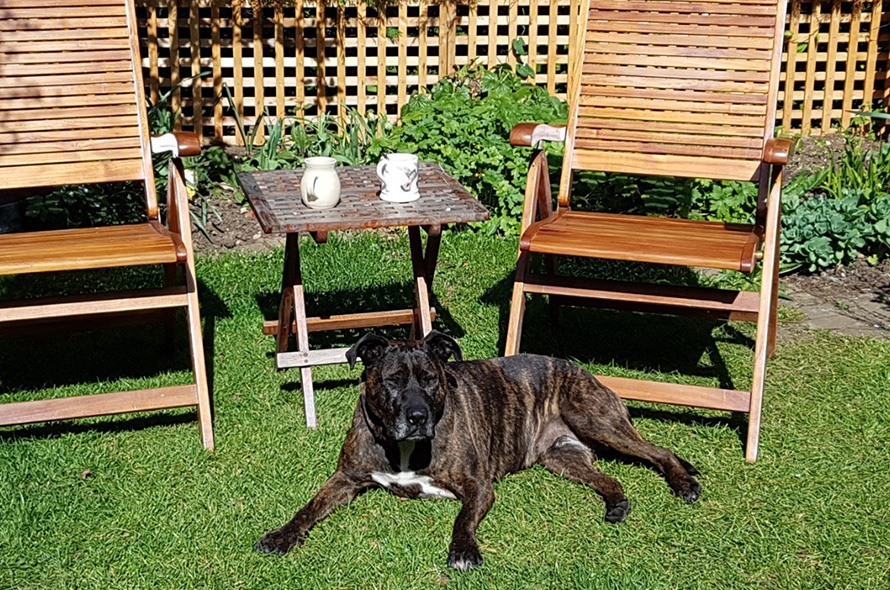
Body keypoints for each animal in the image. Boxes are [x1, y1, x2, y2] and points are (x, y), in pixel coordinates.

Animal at [256, 330, 700, 572]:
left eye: (431, 379)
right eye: (393, 380)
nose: (417, 416)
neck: (403, 446)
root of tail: (584, 370)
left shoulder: (479, 487)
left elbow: (462, 519)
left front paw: (464, 551)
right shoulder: (345, 478)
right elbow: (308, 508)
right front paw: (281, 535)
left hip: (596, 420)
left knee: (660, 450)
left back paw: (683, 483)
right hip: (561, 458)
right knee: (608, 477)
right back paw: (617, 504)